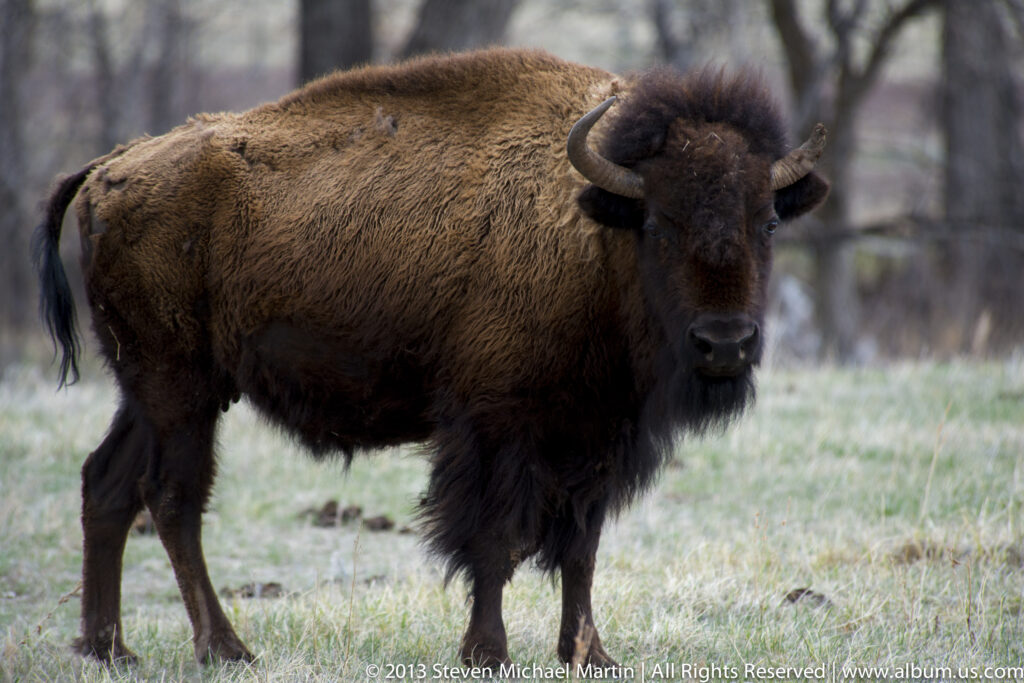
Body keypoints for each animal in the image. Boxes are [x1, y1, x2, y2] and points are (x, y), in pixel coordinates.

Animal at [33, 48, 828, 667]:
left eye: (768, 220)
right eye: (659, 222)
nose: (724, 343)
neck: (594, 227)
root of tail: (110, 167)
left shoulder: (598, 435)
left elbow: (580, 548)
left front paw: (590, 654)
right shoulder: (495, 426)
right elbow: (493, 540)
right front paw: (486, 651)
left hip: (145, 390)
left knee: (107, 483)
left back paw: (108, 647)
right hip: (180, 391)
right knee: (173, 499)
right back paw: (224, 648)